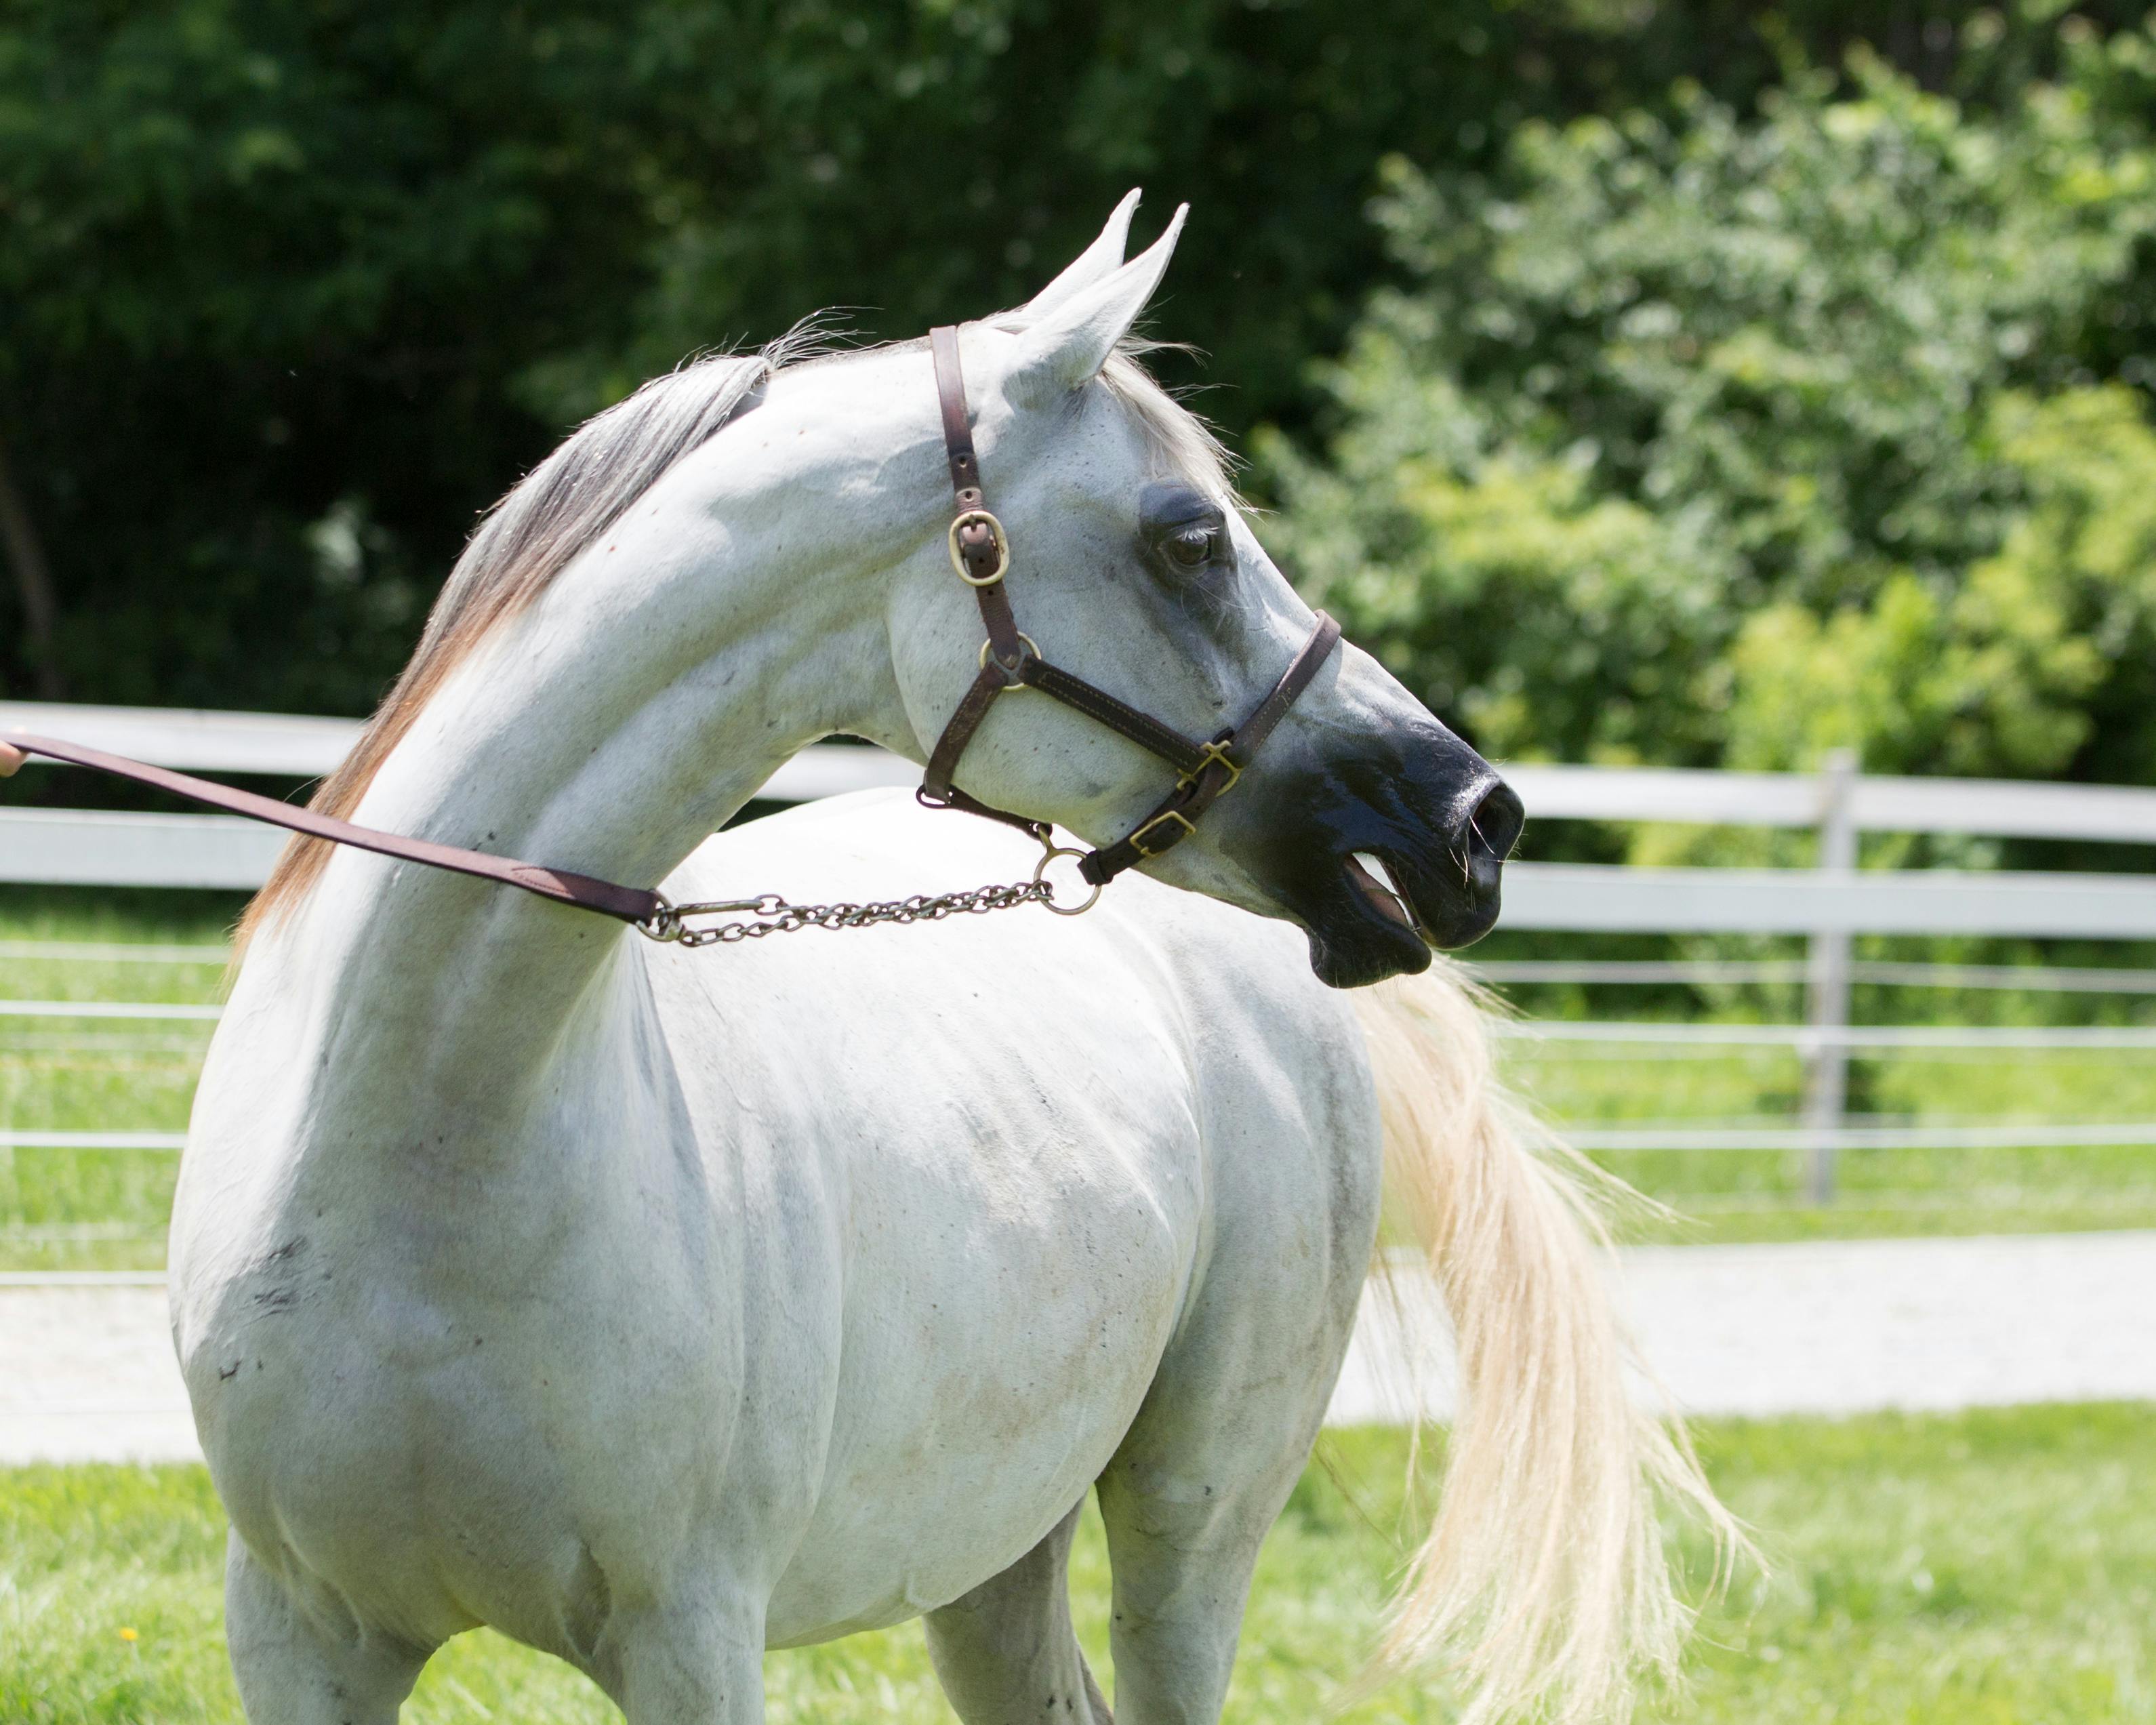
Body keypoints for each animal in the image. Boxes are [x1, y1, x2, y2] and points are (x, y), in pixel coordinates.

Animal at [164, 193, 1723, 1725]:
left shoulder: (691, 1640)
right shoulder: (298, 1637)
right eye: (1190, 539)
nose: (1471, 821)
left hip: (1192, 1521)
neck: (426, 1141)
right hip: (992, 1546)